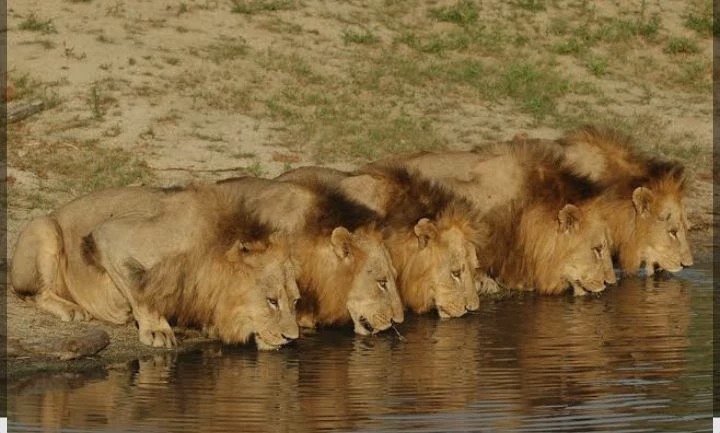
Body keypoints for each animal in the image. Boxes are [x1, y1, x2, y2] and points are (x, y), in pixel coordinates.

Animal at [10, 185, 301, 349]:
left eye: (296, 301)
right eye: (271, 301)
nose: (293, 339)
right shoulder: (109, 237)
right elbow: (141, 291)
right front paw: (157, 330)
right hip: (45, 227)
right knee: (35, 294)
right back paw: (72, 309)